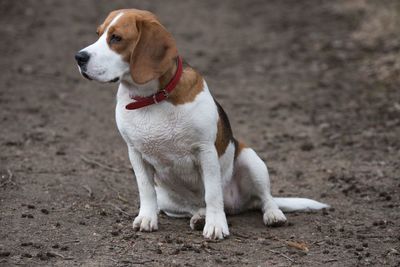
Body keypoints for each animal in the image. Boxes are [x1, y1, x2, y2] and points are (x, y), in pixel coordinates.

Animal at [76, 8, 328, 241]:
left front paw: (216, 225)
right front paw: (147, 218)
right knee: (193, 206)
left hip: (251, 160)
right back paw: (199, 217)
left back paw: (272, 215)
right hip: (166, 198)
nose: (79, 57)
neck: (152, 98)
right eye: (98, 34)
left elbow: (213, 193)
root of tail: (235, 205)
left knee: (264, 199)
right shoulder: (135, 154)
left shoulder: (205, 151)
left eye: (116, 38)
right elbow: (145, 190)